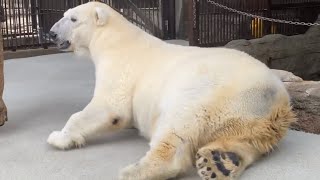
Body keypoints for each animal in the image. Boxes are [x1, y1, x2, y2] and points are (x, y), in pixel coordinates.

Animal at [47, 1, 296, 180]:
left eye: (73, 18)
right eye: (64, 15)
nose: (51, 33)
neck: (113, 39)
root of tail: (277, 99)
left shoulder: (121, 66)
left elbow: (109, 107)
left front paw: (58, 137)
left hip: (209, 92)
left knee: (178, 126)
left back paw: (134, 171)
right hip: (252, 117)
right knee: (248, 138)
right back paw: (219, 162)